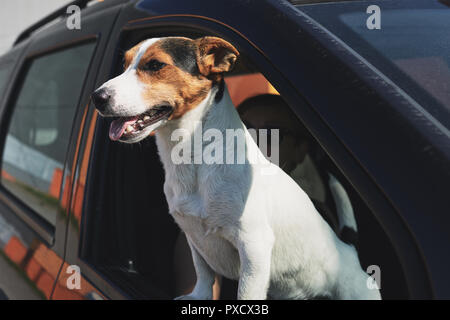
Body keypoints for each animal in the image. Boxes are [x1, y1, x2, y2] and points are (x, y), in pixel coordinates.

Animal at [91, 36, 380, 298]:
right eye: (124, 64)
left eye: (155, 65)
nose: (97, 97)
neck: (193, 159)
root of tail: (348, 250)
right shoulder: (194, 238)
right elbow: (204, 275)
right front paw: (198, 297)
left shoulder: (253, 246)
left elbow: (246, 294)